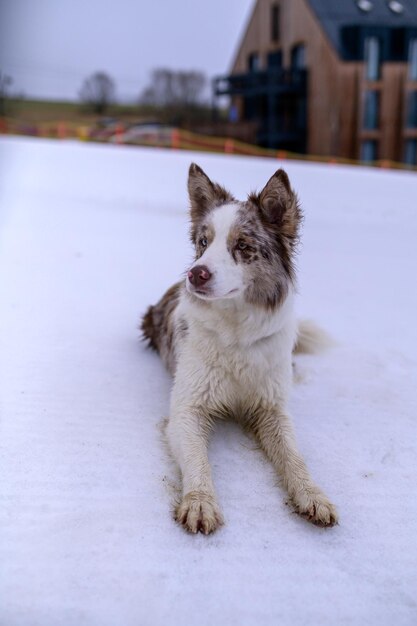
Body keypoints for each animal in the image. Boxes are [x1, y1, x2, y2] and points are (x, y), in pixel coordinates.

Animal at [141, 163, 336, 532]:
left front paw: (313, 495)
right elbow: (198, 460)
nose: (195, 274)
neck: (237, 336)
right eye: (204, 242)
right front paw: (200, 503)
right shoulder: (188, 409)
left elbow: (294, 456)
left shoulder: (272, 408)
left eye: (243, 245)